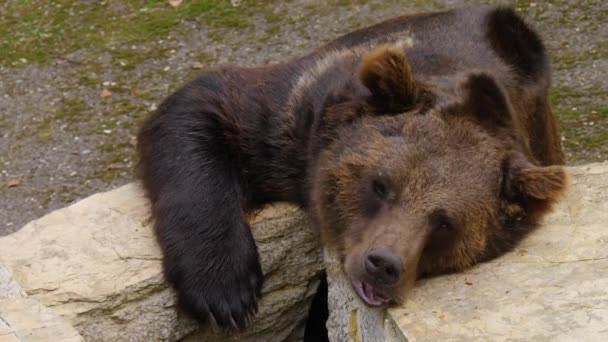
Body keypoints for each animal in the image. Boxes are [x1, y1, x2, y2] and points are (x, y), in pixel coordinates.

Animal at [137, 6, 564, 330]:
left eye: (445, 222)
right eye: (380, 185)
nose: (383, 264)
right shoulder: (290, 122)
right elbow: (204, 106)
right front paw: (225, 292)